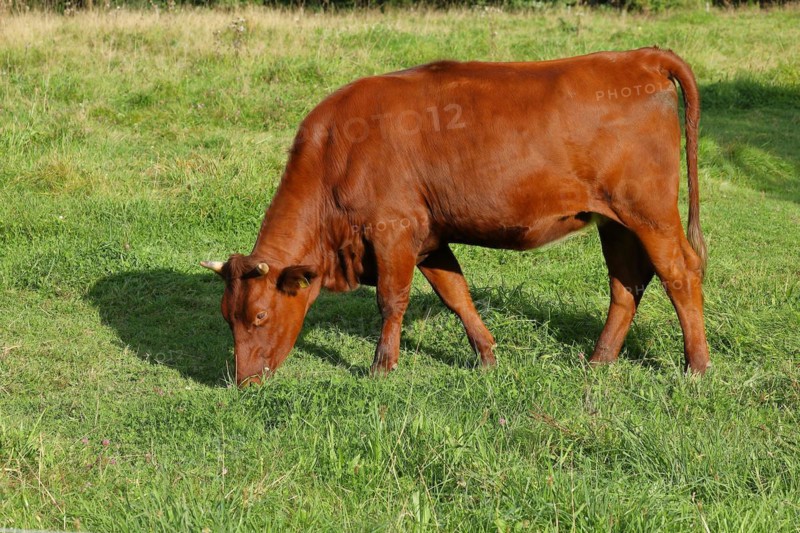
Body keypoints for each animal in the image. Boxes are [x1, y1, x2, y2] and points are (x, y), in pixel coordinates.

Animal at [202, 47, 710, 387]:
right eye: (227, 316)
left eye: (260, 315)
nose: (242, 381)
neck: (336, 153)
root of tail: (639, 56)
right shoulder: (429, 239)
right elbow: (456, 295)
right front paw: (486, 355)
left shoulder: (391, 232)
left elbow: (391, 300)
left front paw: (382, 366)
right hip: (616, 221)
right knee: (627, 284)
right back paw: (599, 360)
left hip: (649, 213)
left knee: (680, 273)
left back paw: (696, 366)